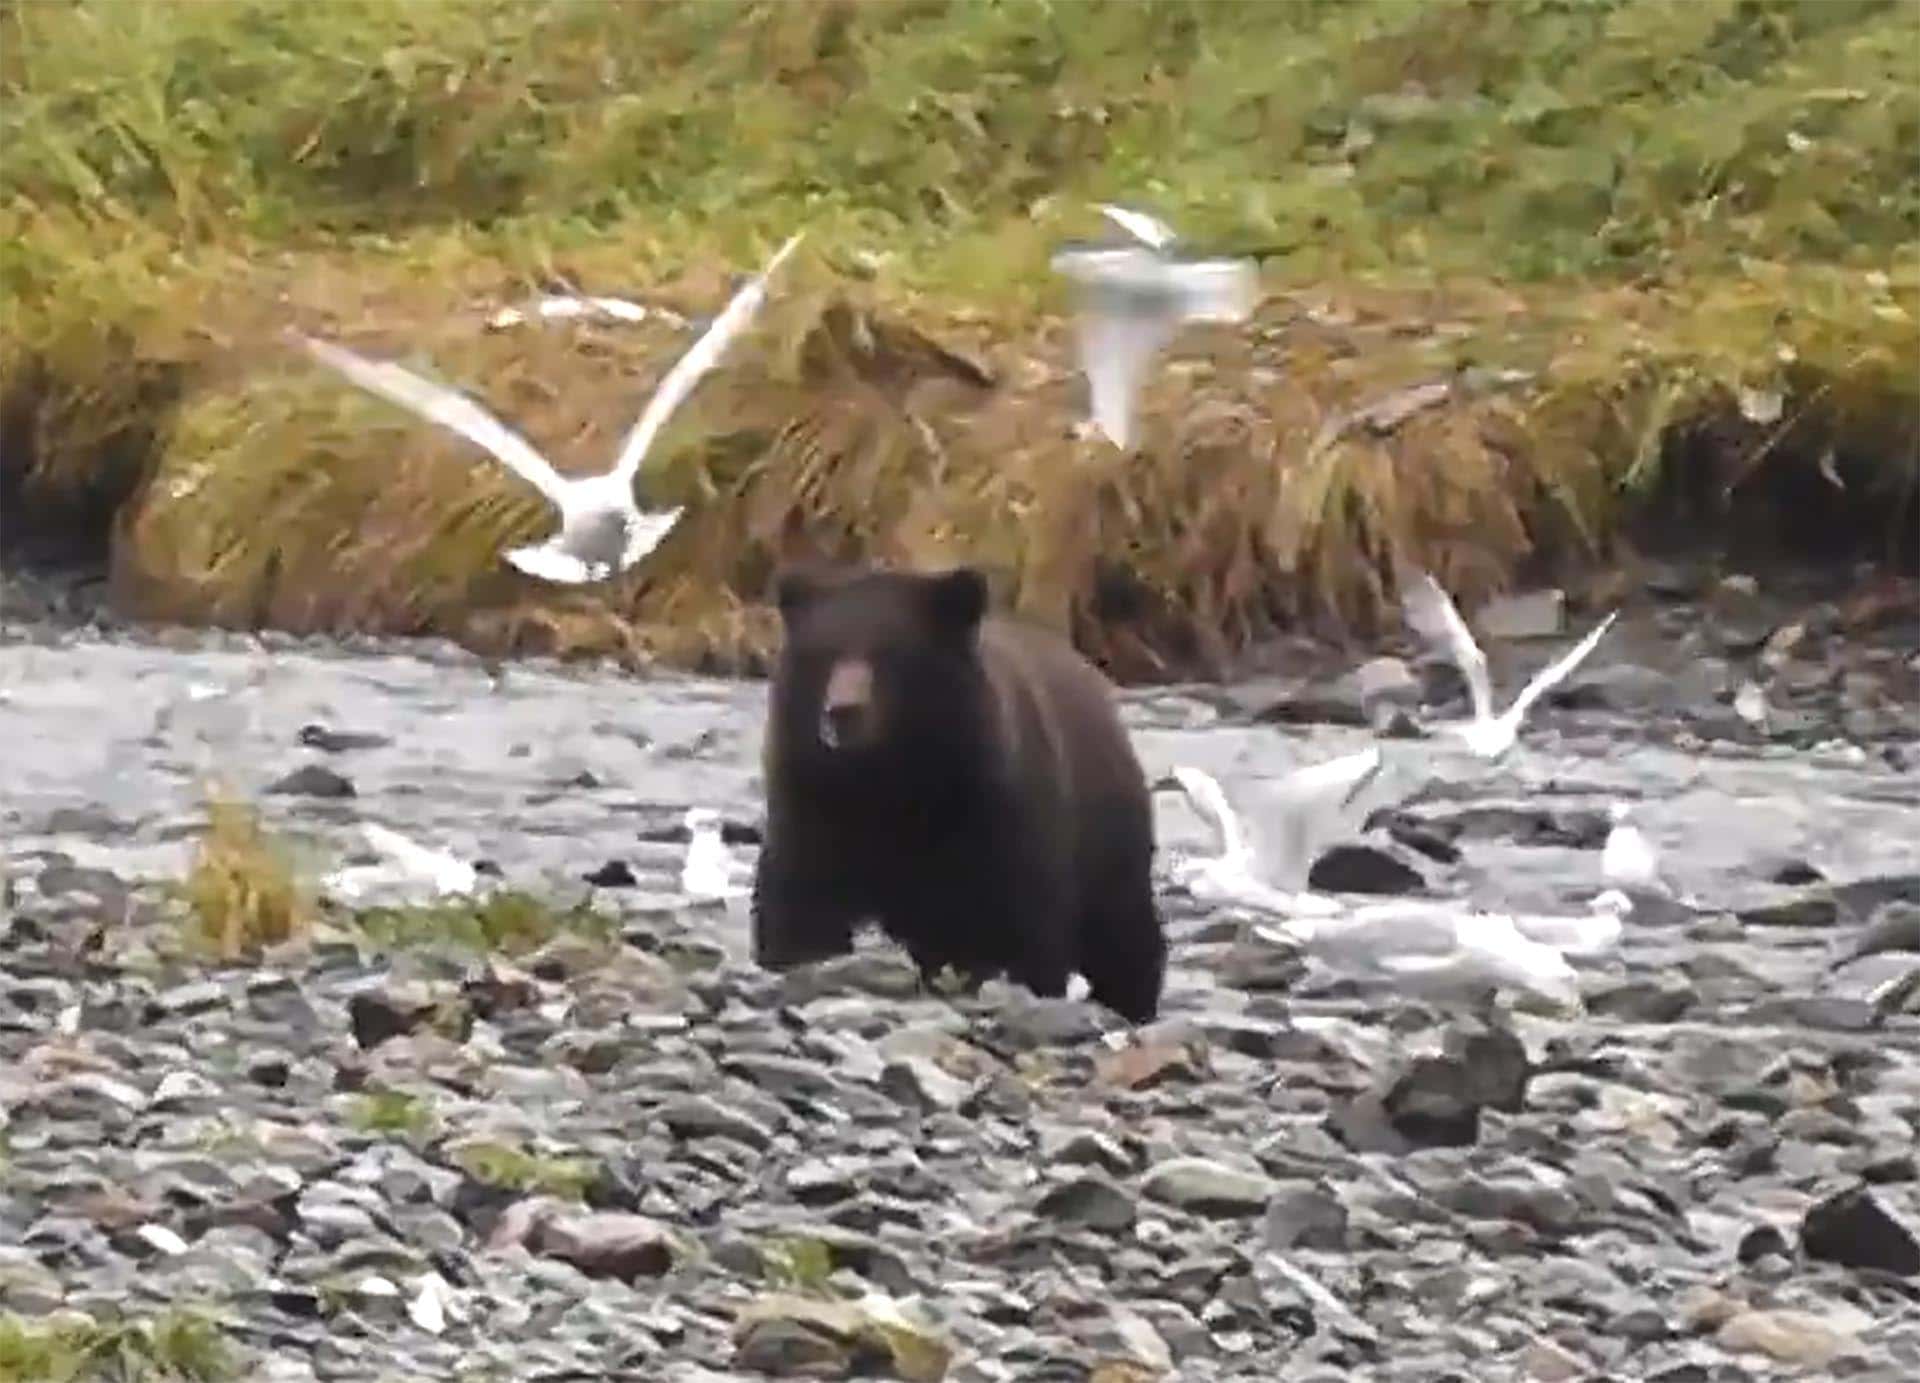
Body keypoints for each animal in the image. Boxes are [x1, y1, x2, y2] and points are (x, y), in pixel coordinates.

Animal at [750, 562, 1167, 1024]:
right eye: (825, 653)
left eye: (889, 654)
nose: (843, 712)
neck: (887, 784)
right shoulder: (815, 803)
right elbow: (802, 903)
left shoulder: (989, 811)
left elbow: (1014, 921)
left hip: (1105, 828)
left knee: (1120, 928)